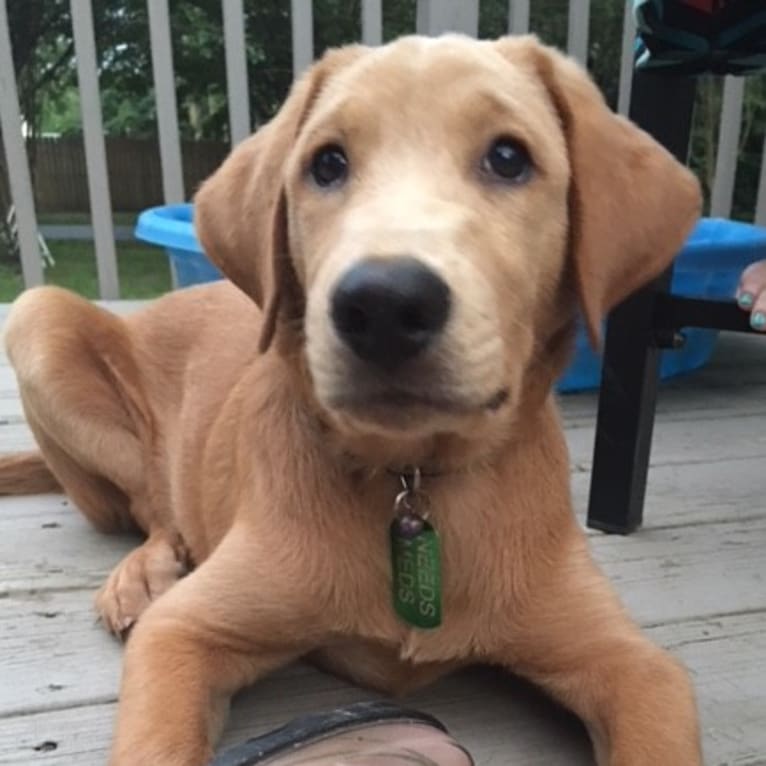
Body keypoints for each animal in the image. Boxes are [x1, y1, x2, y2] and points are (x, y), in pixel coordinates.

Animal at [0, 36, 704, 766]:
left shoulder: (636, 666)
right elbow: (157, 739)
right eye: (328, 163)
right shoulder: (184, 631)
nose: (384, 304)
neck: (415, 478)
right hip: (38, 318)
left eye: (509, 158)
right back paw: (140, 573)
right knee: (153, 506)